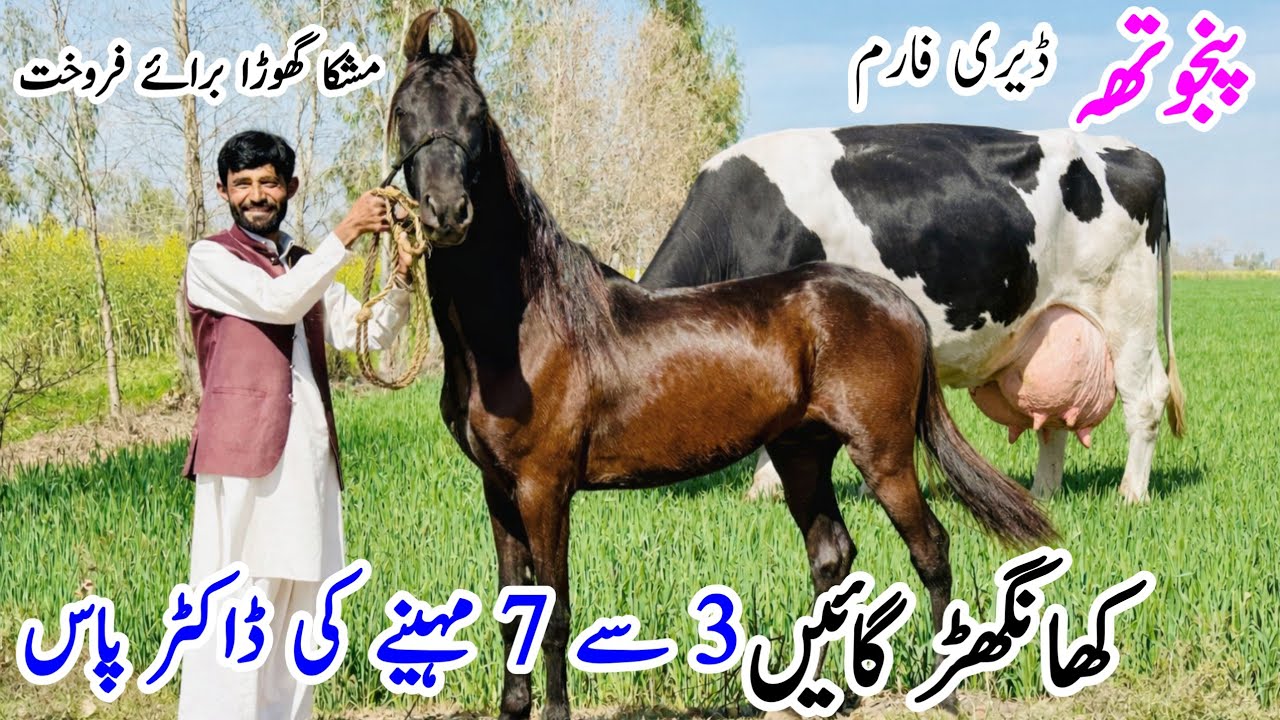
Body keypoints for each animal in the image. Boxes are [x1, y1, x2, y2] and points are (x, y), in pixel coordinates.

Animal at [389, 10, 1056, 719]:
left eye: (477, 114)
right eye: (404, 111)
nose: (447, 212)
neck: (526, 327)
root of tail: (895, 301)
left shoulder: (545, 487)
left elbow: (554, 614)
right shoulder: (499, 489)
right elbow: (511, 611)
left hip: (883, 451)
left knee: (930, 548)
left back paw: (942, 696)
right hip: (801, 451)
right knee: (831, 555)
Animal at [639, 123, 1186, 503]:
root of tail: (1137, 153)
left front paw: (764, 491)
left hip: (1128, 308)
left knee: (1145, 398)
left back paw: (1130, 495)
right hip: (1052, 324)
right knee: (1051, 418)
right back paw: (1042, 492)